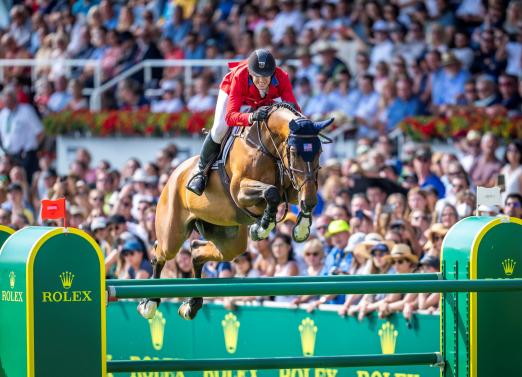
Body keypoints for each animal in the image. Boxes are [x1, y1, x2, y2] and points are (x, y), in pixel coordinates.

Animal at [137, 103, 334, 320]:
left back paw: (192, 304)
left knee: (197, 251)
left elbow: (298, 195)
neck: (266, 145)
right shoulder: (240, 190)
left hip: (229, 240)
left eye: (319, 150)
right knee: (160, 252)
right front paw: (262, 227)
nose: (309, 199)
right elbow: (271, 192)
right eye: (293, 151)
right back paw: (149, 303)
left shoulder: (293, 187)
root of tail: (174, 174)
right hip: (172, 233)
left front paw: (301, 227)